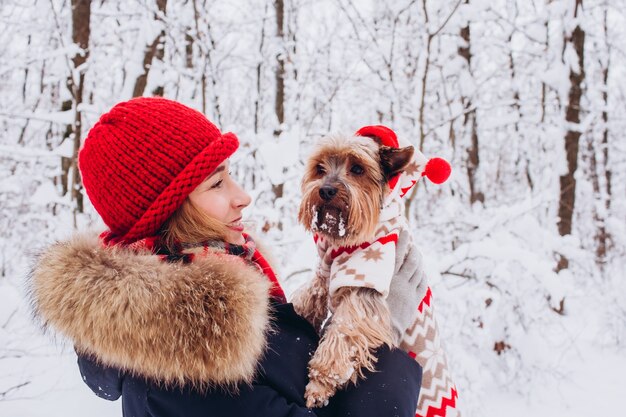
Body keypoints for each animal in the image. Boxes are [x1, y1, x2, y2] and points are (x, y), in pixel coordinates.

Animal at [292, 124, 454, 410]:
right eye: (320, 168)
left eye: (357, 169)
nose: (326, 190)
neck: (346, 242)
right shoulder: (325, 274)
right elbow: (308, 298)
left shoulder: (364, 288)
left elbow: (342, 336)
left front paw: (319, 385)